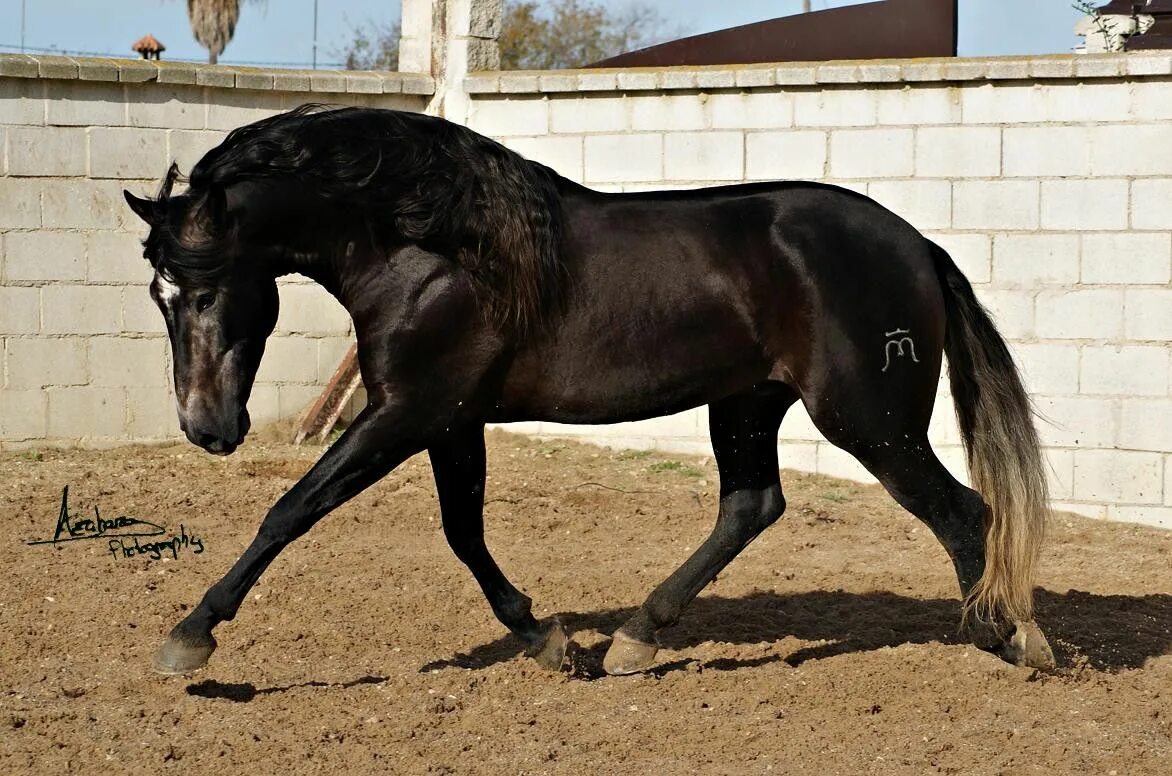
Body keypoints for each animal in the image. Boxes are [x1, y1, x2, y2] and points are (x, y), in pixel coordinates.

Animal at [123, 106, 1059, 679]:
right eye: (159, 295)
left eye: (203, 290)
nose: (207, 428)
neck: (437, 249)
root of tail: (917, 246)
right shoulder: (450, 419)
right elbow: (463, 533)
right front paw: (547, 638)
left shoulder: (407, 412)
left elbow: (293, 508)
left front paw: (190, 635)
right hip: (748, 404)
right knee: (751, 507)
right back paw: (635, 641)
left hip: (869, 419)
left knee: (962, 511)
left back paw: (1013, 638)